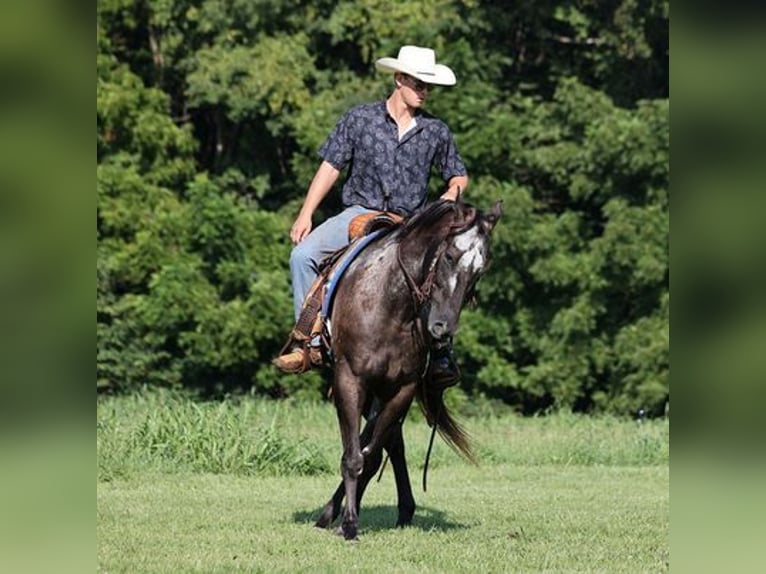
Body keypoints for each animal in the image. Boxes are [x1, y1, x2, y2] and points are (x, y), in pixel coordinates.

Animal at [314, 198, 500, 540]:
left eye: (480, 270)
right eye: (449, 256)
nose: (441, 328)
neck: (391, 306)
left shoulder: (402, 389)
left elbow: (371, 454)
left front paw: (347, 516)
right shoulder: (349, 380)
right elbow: (353, 455)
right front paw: (349, 523)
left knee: (387, 442)